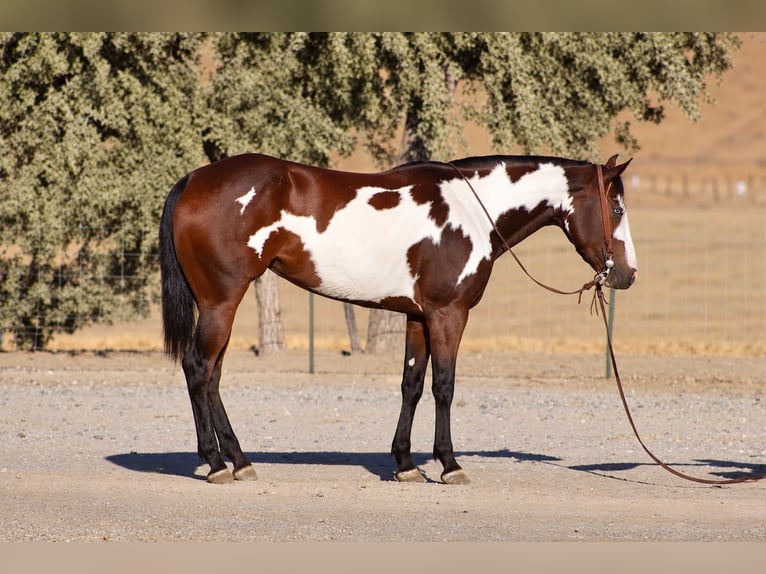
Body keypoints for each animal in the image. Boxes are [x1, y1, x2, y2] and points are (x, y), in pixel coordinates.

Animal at [159, 152, 637, 484]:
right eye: (616, 209)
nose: (628, 274)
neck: (469, 209)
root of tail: (193, 179)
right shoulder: (448, 315)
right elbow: (444, 387)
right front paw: (449, 464)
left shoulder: (417, 318)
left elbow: (412, 385)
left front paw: (405, 463)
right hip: (221, 303)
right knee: (198, 369)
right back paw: (216, 463)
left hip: (221, 306)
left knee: (213, 377)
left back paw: (239, 460)